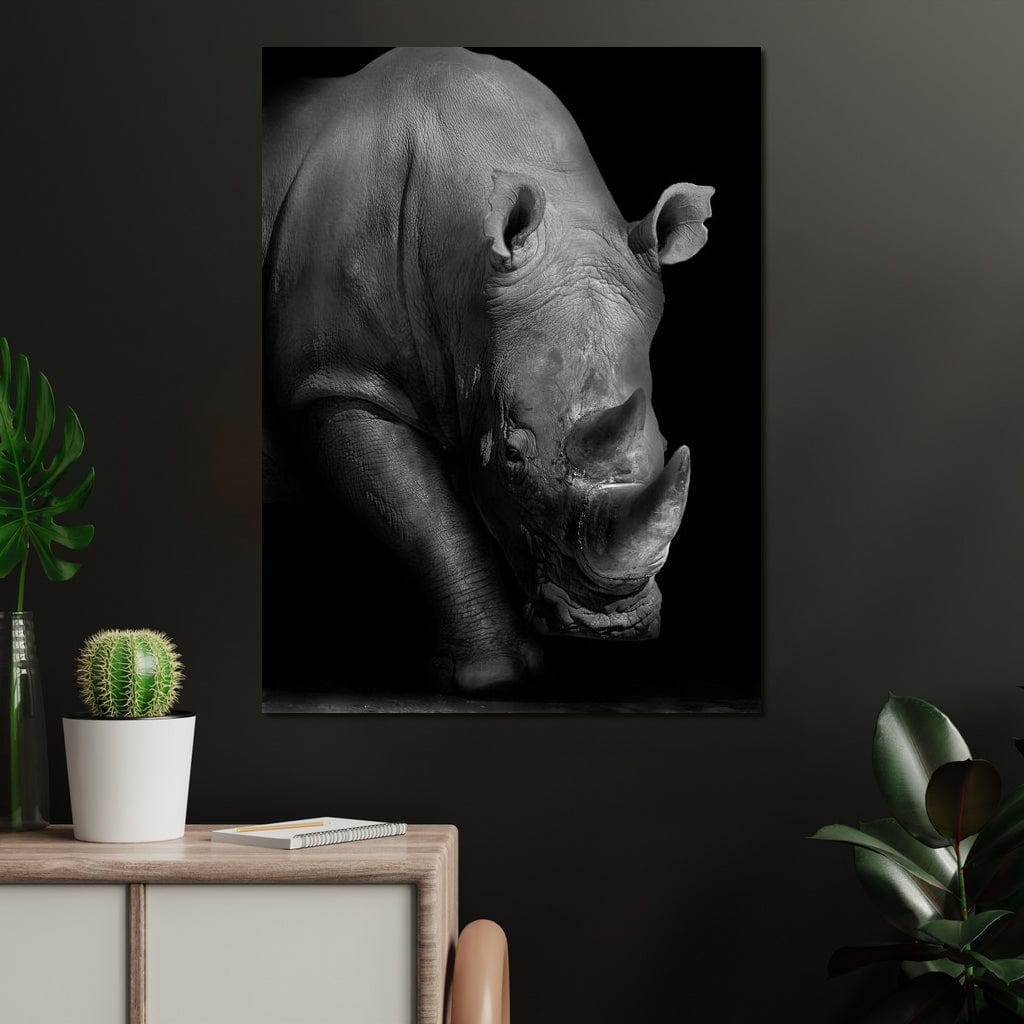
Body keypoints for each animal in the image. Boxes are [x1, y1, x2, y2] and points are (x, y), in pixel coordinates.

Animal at [262, 47, 713, 694]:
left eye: (661, 442)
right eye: (511, 456)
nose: (609, 625)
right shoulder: (339, 380)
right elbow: (424, 516)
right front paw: (493, 678)